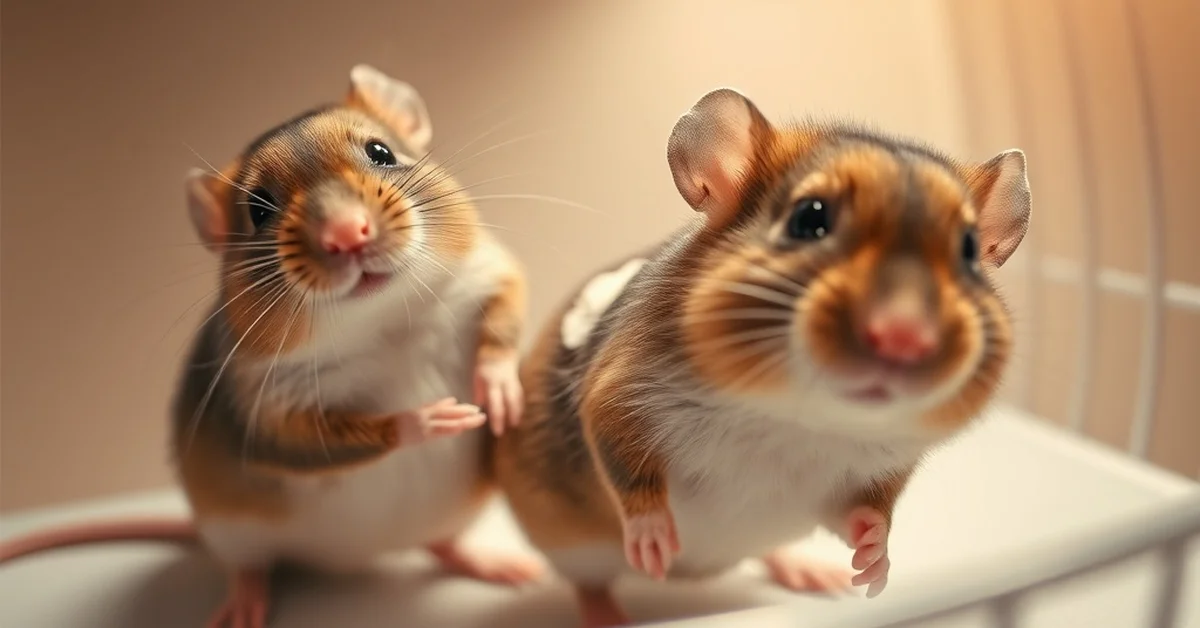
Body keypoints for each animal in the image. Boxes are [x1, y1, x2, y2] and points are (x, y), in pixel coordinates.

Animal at [0, 64, 540, 628]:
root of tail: (353, 557)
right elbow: (316, 440)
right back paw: (244, 605)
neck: (386, 323)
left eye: (381, 152)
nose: (347, 234)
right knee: (249, 566)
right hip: (230, 529)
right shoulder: (263, 406)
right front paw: (432, 417)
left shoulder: (491, 271)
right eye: (258, 209)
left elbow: (506, 318)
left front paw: (499, 393)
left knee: (442, 546)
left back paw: (496, 564)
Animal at [494, 87, 1031, 627]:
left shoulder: (881, 471)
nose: (905, 337)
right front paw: (654, 549)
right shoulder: (615, 397)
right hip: (573, 548)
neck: (796, 419)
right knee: (591, 586)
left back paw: (813, 574)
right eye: (809, 219)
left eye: (969, 249)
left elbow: (869, 516)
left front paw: (871, 574)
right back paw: (613, 610)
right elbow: (631, 477)